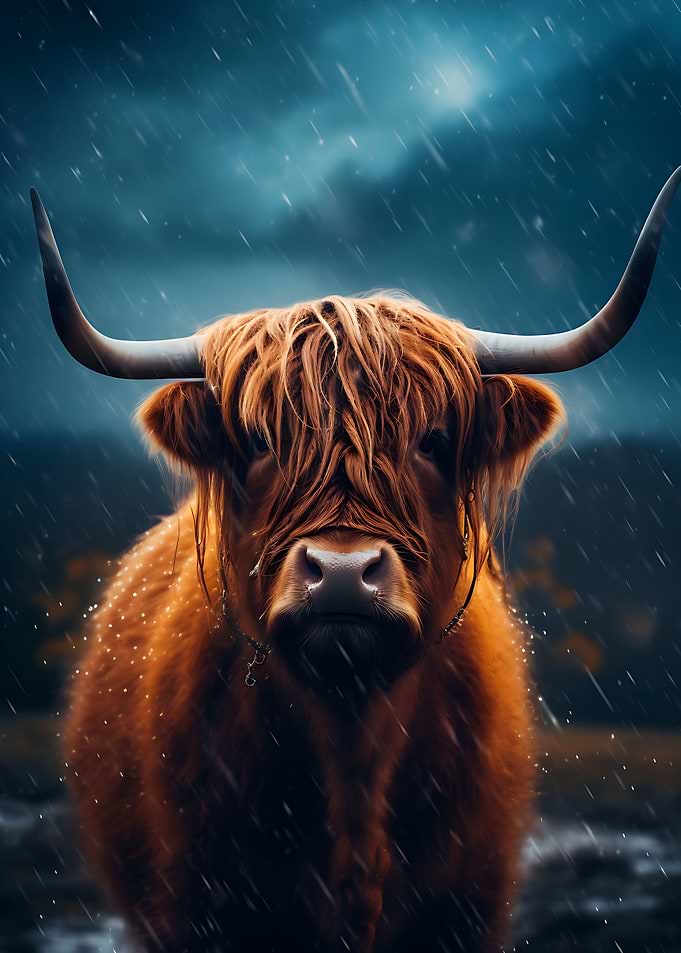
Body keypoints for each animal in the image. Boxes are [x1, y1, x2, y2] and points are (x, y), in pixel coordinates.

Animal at [31, 168, 679, 953]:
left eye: (434, 439)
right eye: (256, 441)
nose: (342, 573)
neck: (352, 748)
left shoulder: (468, 907)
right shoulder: (193, 909)